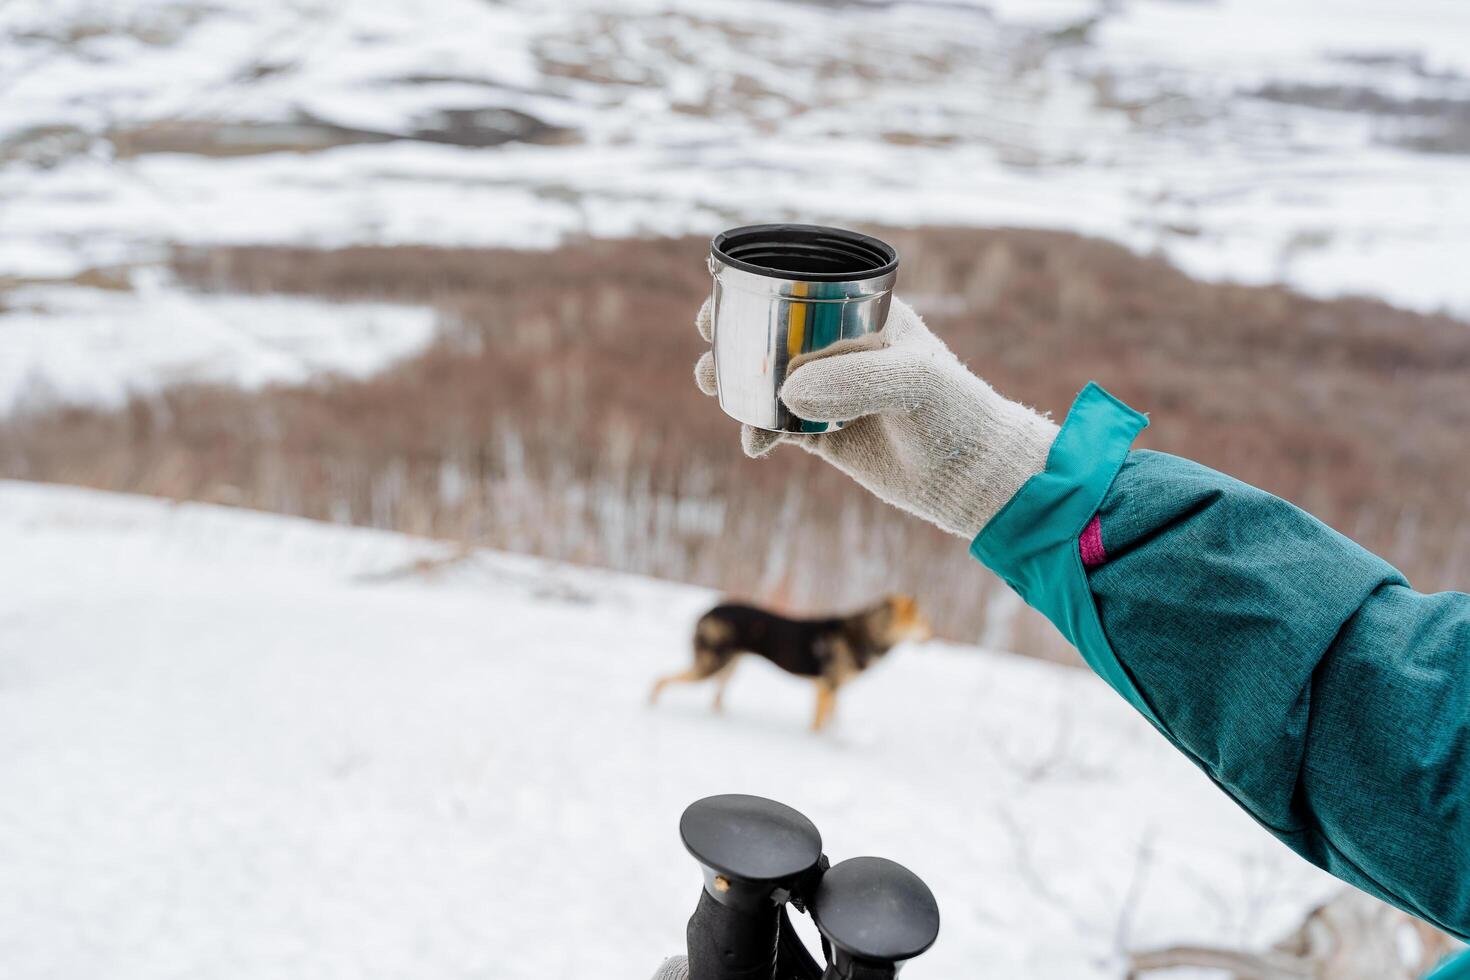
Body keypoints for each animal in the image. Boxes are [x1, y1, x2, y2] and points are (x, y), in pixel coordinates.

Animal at [652, 593, 929, 731]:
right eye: (924, 622)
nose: (932, 634)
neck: (868, 634)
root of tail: (706, 612)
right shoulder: (826, 687)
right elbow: (819, 723)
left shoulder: (834, 689)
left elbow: (833, 718)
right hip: (709, 667)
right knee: (660, 679)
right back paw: (651, 706)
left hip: (728, 668)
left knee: (716, 697)